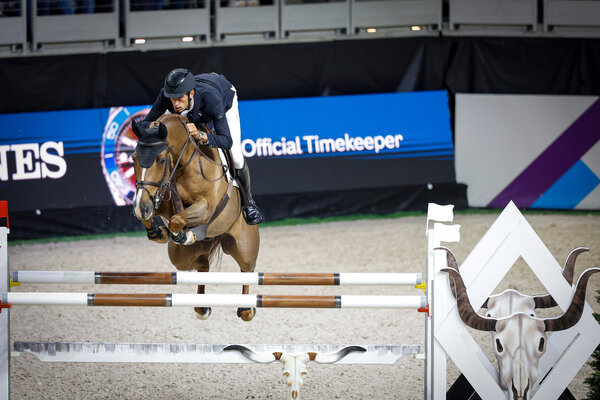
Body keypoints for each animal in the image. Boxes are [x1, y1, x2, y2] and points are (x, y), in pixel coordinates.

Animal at [131, 113, 259, 322]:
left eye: (160, 160)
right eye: (133, 158)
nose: (142, 206)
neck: (181, 165)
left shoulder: (206, 207)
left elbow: (177, 219)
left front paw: (182, 234)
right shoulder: (159, 199)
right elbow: (157, 216)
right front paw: (160, 233)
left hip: (243, 247)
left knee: (246, 269)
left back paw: (247, 308)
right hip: (181, 256)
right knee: (202, 266)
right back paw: (202, 307)